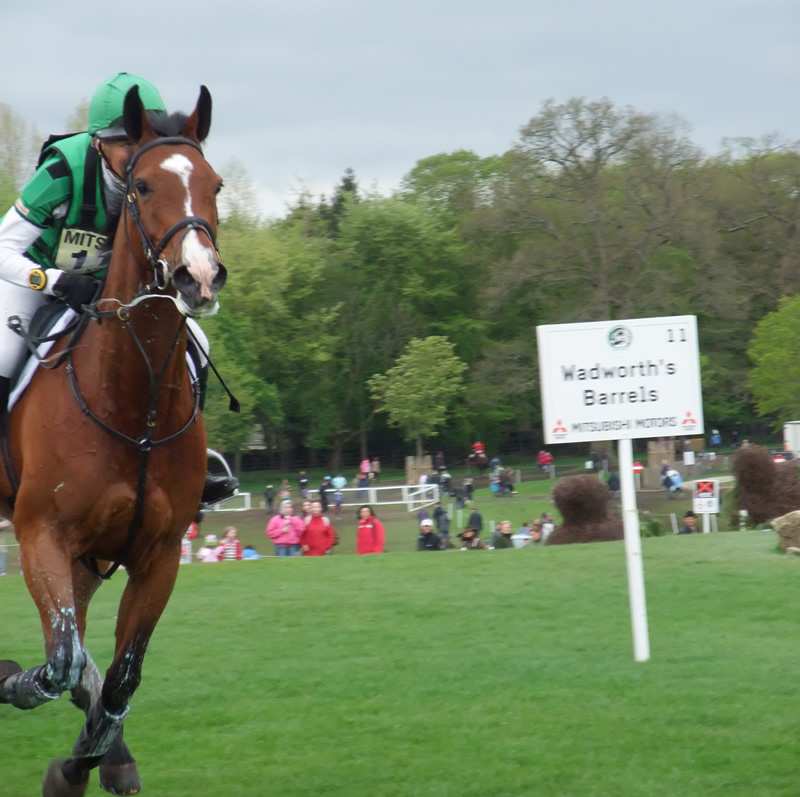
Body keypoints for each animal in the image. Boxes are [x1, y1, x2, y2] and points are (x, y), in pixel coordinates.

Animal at [0, 84, 227, 792]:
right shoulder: (41, 533)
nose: (198, 276)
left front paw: (87, 762)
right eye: (143, 185)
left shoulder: (155, 555)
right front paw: (11, 683)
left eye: (215, 183)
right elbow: (58, 664)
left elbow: (119, 675)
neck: (134, 404)